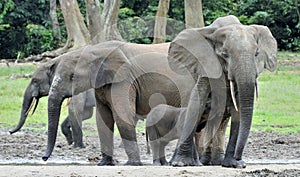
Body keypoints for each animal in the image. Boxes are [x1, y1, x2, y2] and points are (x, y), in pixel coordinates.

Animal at [168, 14, 278, 167]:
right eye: (225, 54)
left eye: (256, 54)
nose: (239, 157)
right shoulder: (206, 64)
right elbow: (197, 99)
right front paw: (181, 163)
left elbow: (238, 108)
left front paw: (235, 165)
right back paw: (188, 163)